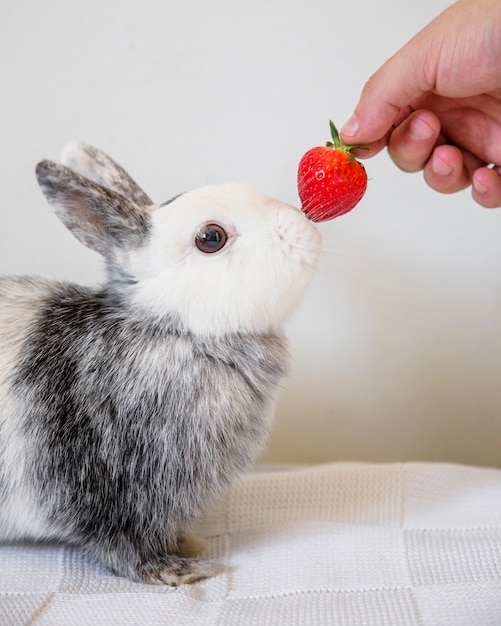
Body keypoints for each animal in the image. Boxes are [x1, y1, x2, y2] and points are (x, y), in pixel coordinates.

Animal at [0, 139, 320, 584]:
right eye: (211, 237)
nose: (305, 225)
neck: (176, 332)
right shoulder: (103, 494)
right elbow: (120, 546)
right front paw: (176, 571)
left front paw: (187, 542)